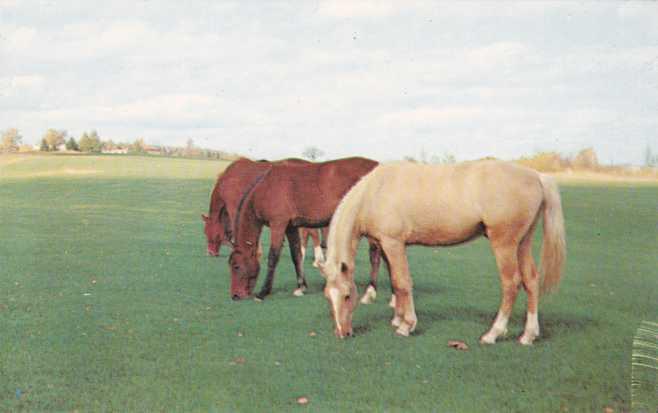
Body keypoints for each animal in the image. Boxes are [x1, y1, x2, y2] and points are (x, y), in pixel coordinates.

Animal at [231, 155, 382, 300]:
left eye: (236, 266)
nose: (235, 296)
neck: (267, 187)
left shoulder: (278, 224)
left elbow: (273, 256)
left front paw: (263, 292)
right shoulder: (290, 227)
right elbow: (296, 255)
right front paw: (301, 287)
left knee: (374, 254)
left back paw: (371, 290)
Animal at [318, 161, 564, 344]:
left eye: (347, 295)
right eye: (328, 297)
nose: (342, 333)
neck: (375, 192)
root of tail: (536, 176)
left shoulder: (393, 244)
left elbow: (402, 283)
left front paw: (406, 325)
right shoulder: (386, 246)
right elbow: (395, 282)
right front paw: (398, 319)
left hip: (504, 244)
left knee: (511, 283)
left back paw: (493, 334)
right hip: (522, 243)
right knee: (531, 281)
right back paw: (528, 335)